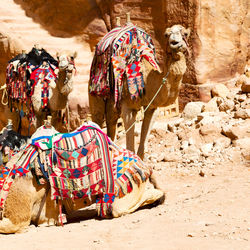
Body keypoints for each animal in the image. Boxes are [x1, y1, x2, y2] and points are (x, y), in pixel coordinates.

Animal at [89, 23, 190, 158]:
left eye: (185, 34)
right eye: (166, 34)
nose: (174, 43)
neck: (146, 78)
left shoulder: (152, 107)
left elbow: (143, 140)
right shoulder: (127, 106)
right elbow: (130, 143)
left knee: (111, 120)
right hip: (95, 88)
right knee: (98, 117)